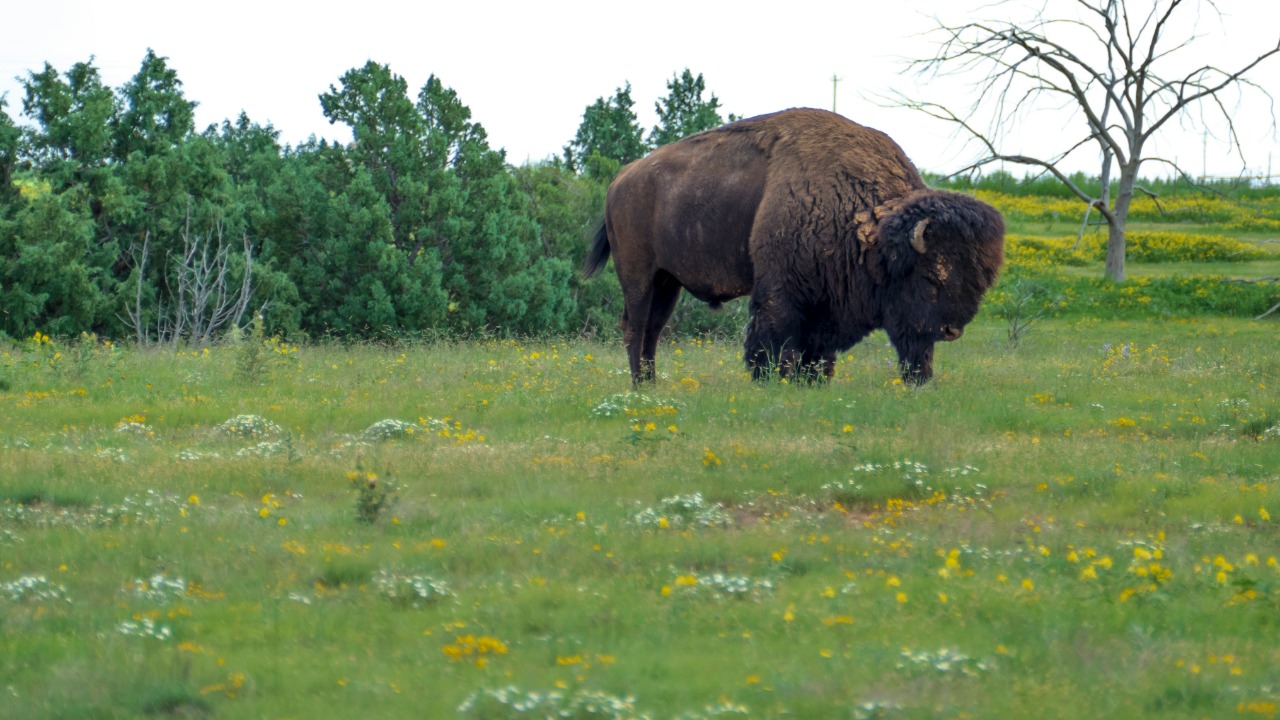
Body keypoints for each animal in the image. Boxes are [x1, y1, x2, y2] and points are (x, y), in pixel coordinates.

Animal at [583, 108, 1005, 385]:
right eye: (932, 277)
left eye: (981, 281)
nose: (951, 330)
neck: (870, 231)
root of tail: (621, 178)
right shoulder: (781, 292)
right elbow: (774, 338)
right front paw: (770, 379)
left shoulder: (827, 302)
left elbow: (817, 350)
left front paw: (815, 381)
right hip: (639, 275)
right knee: (636, 326)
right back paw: (639, 386)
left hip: (668, 281)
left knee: (653, 329)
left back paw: (652, 383)